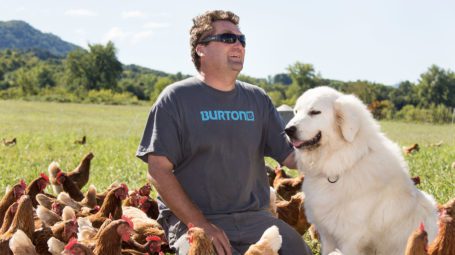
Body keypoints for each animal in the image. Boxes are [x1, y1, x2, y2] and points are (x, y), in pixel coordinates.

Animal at [286, 87, 440, 255]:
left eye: (314, 112)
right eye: (295, 111)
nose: (288, 130)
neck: (343, 163)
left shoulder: (350, 239)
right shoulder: (327, 235)